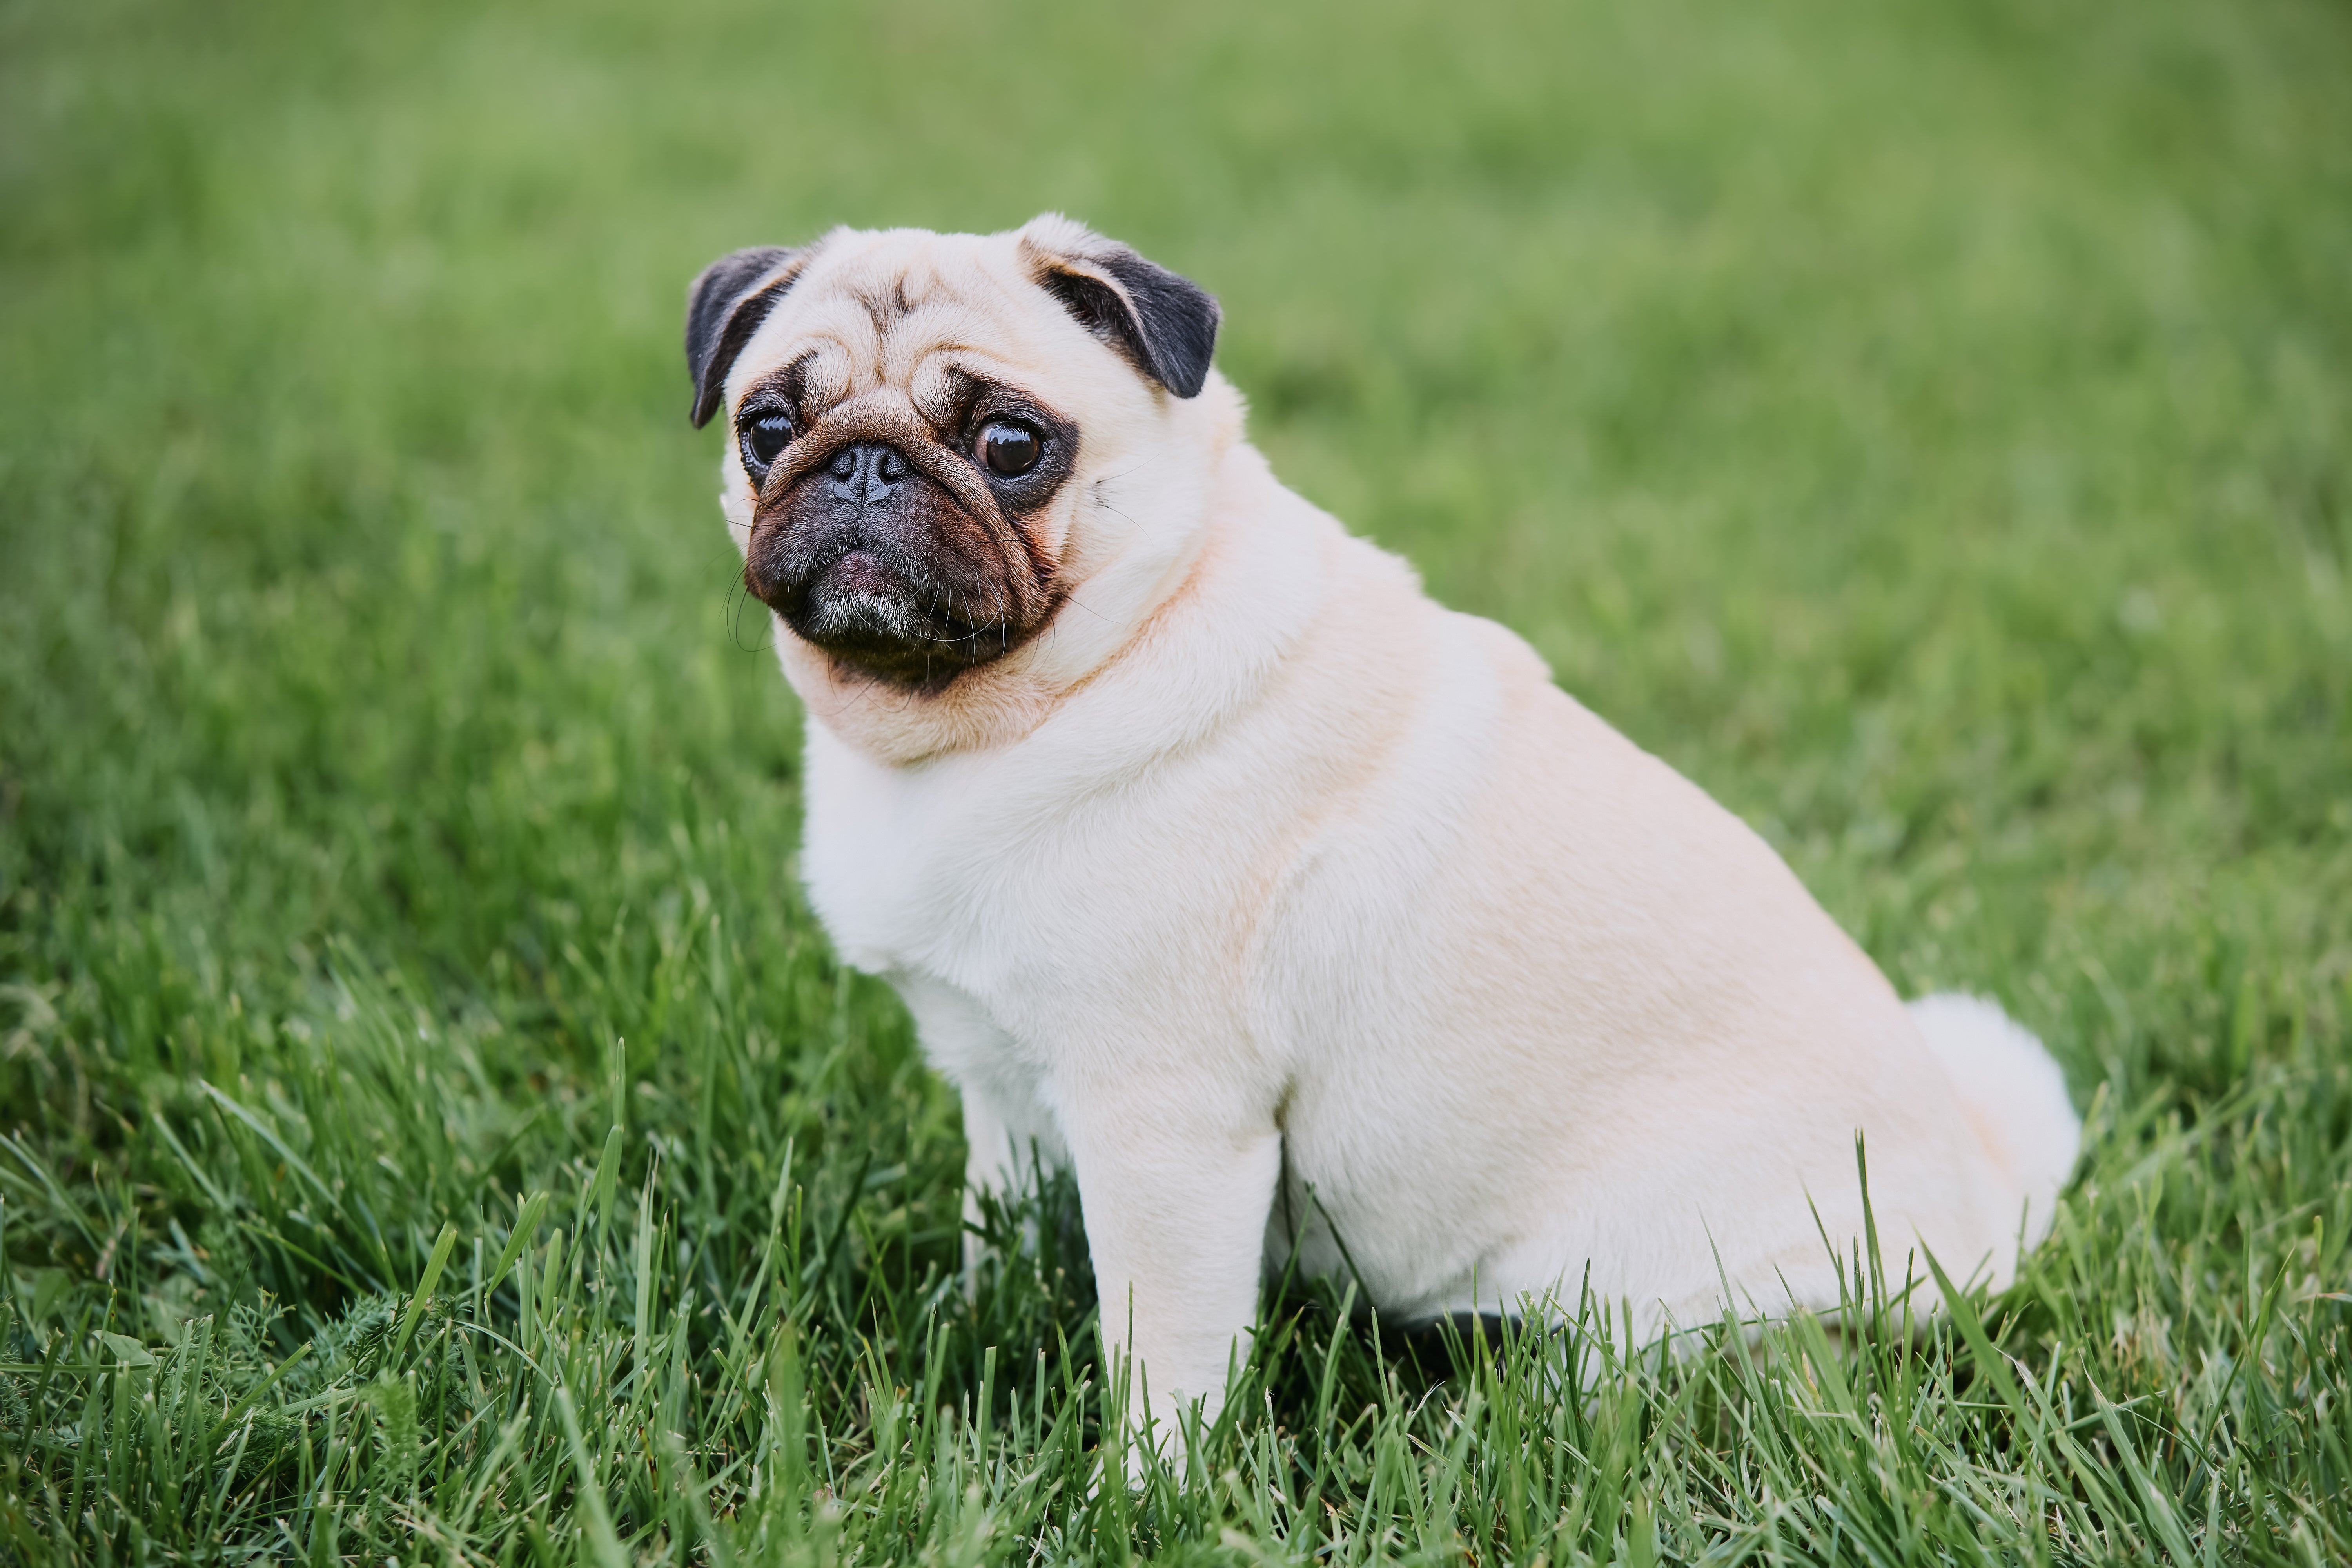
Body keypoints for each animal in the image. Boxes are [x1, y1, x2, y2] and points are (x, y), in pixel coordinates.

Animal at [682, 215, 2079, 1439]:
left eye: (1012, 442)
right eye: (767, 427)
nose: (864, 461)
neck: (1005, 714)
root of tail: (1983, 1201)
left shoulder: (1167, 1125)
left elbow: (1163, 1349)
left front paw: (1153, 1489)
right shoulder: (1005, 1083)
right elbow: (1000, 1226)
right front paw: (979, 1324)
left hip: (1652, 1276)